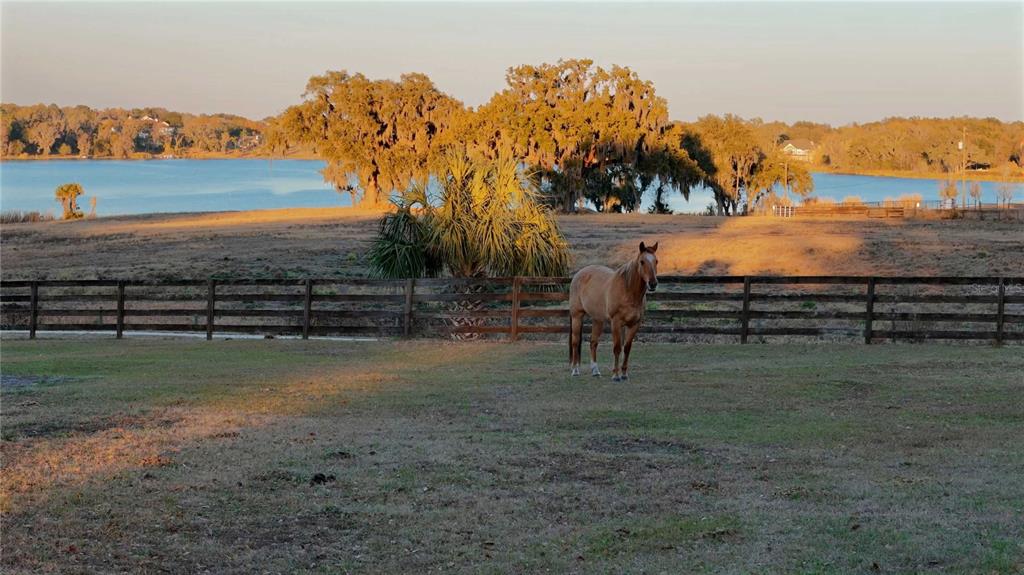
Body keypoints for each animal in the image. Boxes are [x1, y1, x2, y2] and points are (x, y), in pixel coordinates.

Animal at [569, 241, 659, 381]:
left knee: (593, 342)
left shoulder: (634, 324)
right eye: (642, 261)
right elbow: (617, 348)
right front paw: (616, 375)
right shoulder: (616, 323)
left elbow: (627, 348)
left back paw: (595, 371)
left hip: (598, 320)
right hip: (576, 316)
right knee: (575, 342)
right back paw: (575, 370)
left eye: (656, 261)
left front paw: (624, 374)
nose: (653, 284)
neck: (628, 291)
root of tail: (579, 273)